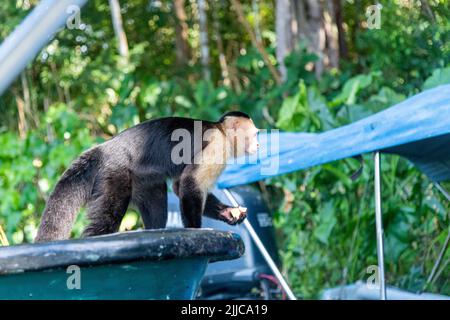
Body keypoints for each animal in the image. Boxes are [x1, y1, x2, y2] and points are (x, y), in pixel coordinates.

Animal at [34, 111, 260, 241]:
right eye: (255, 134)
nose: (258, 144)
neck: (222, 132)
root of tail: (104, 148)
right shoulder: (216, 145)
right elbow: (191, 183)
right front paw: (196, 231)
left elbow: (179, 186)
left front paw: (229, 213)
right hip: (114, 171)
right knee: (110, 213)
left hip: (141, 180)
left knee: (157, 202)